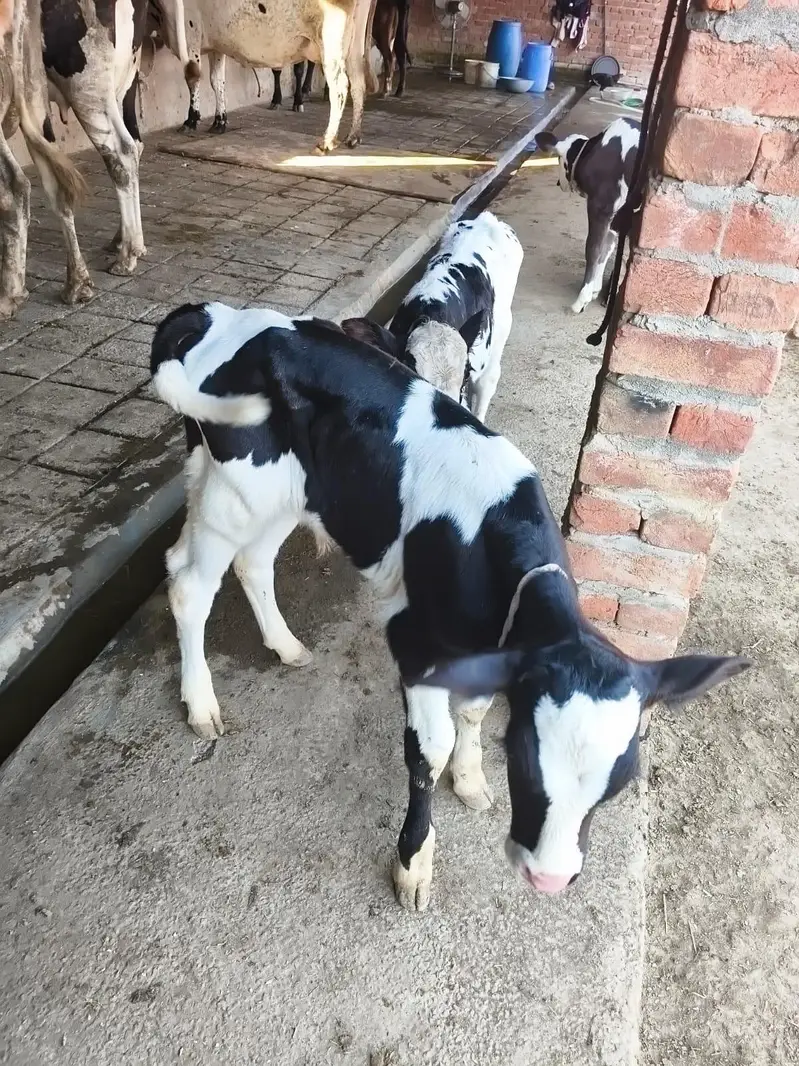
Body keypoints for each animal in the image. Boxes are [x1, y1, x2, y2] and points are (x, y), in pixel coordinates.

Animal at [42, 0, 151, 274]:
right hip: (123, 80)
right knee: (134, 145)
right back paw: (128, 242)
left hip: (87, 86)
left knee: (121, 152)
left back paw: (127, 256)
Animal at [150, 300, 749, 910]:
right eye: (524, 760)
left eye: (619, 782)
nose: (550, 878)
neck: (492, 542)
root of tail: (215, 313)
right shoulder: (418, 645)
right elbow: (428, 753)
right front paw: (415, 863)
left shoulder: (491, 652)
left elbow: (475, 710)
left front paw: (470, 779)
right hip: (236, 496)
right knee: (190, 586)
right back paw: (201, 705)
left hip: (285, 495)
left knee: (248, 562)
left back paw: (287, 647)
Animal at [151, 0, 370, 152]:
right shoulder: (217, 45)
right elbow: (217, 81)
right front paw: (219, 121)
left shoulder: (190, 33)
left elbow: (193, 78)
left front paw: (191, 120)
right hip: (353, 43)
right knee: (359, 82)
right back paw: (353, 137)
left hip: (331, 40)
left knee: (340, 88)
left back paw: (327, 141)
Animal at [536, 117, 640, 314]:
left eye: (559, 159)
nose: (558, 183)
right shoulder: (616, 216)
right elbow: (607, 248)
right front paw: (595, 289)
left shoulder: (600, 206)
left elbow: (593, 248)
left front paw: (582, 299)